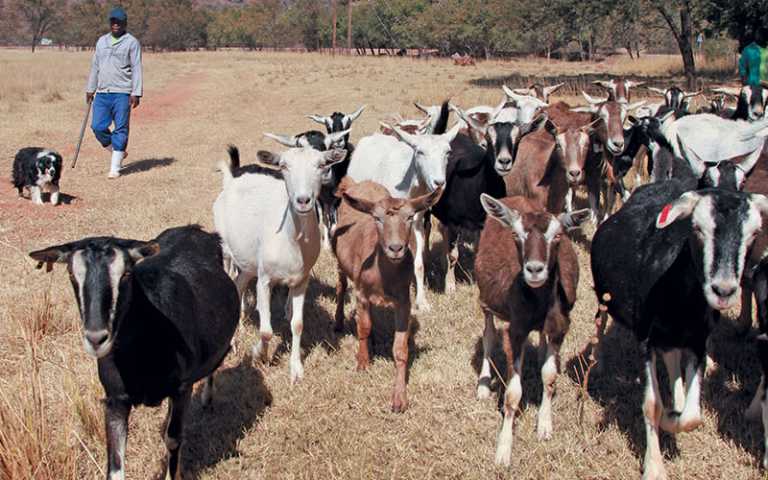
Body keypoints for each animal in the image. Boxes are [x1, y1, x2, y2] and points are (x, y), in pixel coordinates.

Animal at [29, 225, 240, 480]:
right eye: (71, 274)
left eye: (126, 274)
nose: (96, 338)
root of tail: (194, 228)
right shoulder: (115, 398)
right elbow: (115, 465)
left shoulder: (182, 388)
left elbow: (173, 439)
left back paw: (207, 398)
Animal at [216, 144, 348, 380]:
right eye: (284, 166)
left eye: (321, 165)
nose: (303, 200)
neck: (291, 241)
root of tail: (231, 180)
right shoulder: (264, 279)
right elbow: (266, 331)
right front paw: (259, 355)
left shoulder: (301, 280)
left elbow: (297, 324)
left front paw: (296, 369)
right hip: (226, 250)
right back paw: (232, 341)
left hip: (249, 261)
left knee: (239, 284)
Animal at [332, 179, 440, 412]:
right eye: (378, 218)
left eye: (409, 217)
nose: (396, 248)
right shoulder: (361, 293)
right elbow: (363, 327)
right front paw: (363, 362)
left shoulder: (403, 302)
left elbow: (400, 348)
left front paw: (399, 399)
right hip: (340, 261)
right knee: (341, 285)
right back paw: (338, 322)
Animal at [474, 194, 588, 464]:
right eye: (516, 235)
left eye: (557, 236)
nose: (535, 269)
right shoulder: (515, 329)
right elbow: (513, 392)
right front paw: (504, 449)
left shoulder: (560, 325)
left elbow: (550, 376)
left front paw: (545, 426)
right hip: (485, 300)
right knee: (488, 337)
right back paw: (483, 384)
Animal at [592, 183, 768, 476]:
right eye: (697, 228)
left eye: (754, 233)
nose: (723, 291)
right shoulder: (645, 340)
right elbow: (652, 405)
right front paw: (654, 468)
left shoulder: (697, 342)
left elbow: (693, 415)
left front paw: (672, 418)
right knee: (603, 323)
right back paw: (599, 362)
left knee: (673, 360)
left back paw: (676, 400)